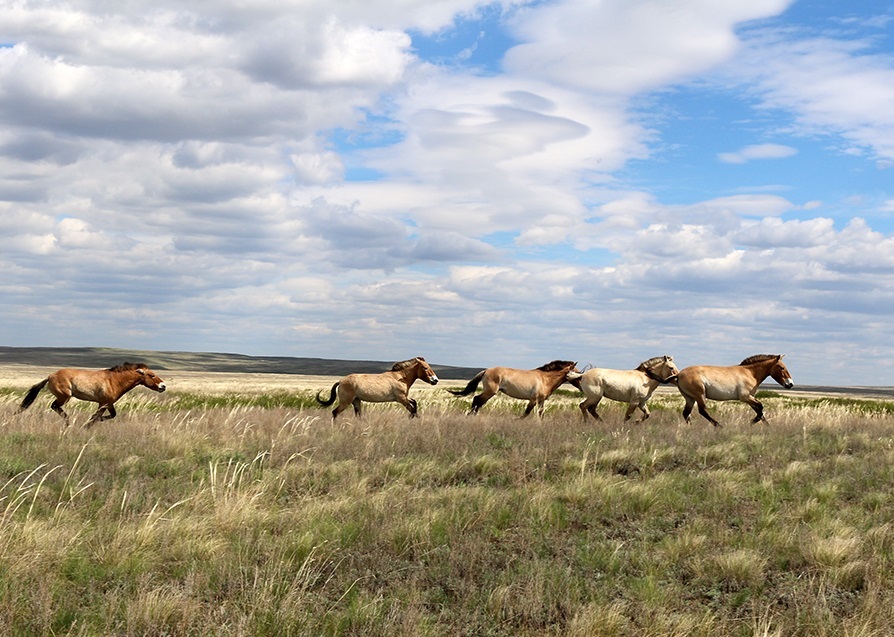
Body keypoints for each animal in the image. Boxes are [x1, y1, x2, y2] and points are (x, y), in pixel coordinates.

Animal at [17, 362, 168, 428]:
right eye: (152, 375)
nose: (163, 386)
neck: (114, 381)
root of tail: (50, 376)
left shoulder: (108, 403)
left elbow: (111, 415)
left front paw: (92, 422)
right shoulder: (103, 403)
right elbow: (96, 416)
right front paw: (86, 426)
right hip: (64, 397)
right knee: (54, 406)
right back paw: (68, 422)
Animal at [448, 358, 580, 418]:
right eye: (577, 372)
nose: (581, 382)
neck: (545, 379)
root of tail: (486, 371)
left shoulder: (541, 401)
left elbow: (540, 414)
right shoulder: (533, 399)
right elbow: (526, 413)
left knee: (477, 401)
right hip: (490, 391)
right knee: (477, 400)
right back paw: (471, 416)